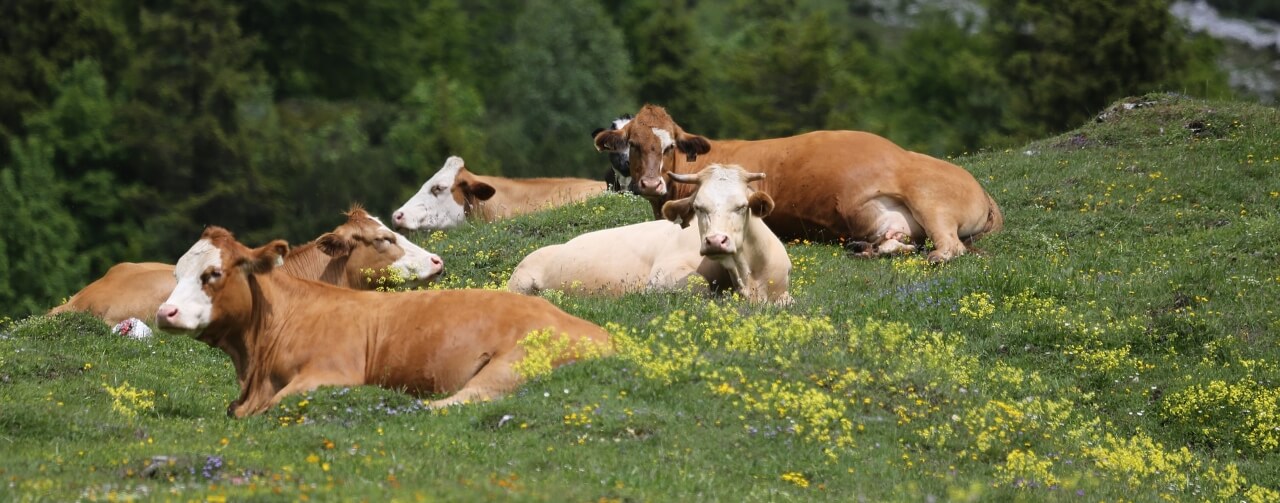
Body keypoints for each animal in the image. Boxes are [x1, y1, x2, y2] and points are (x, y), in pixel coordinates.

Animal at [154, 227, 614, 414]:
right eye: (175, 273)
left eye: (213, 273)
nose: (164, 312)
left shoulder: (333, 373)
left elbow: (272, 407)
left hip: (510, 365)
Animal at [593, 104, 1003, 264]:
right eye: (633, 143)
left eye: (669, 146)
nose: (650, 183)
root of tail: (983, 191)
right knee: (896, 242)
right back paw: (864, 247)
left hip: (930, 200)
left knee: (948, 247)